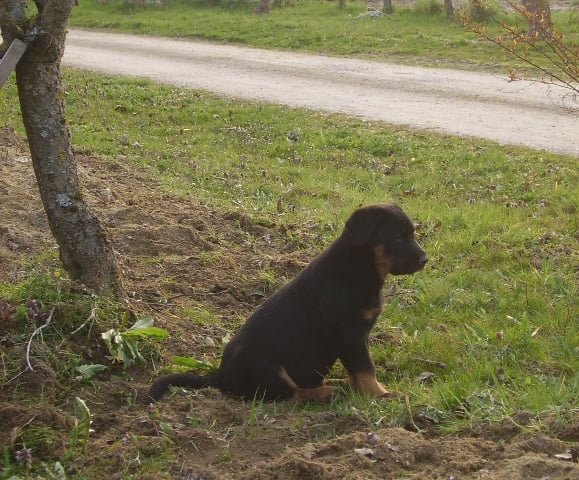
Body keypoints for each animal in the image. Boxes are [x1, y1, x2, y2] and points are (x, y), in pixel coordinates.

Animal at [147, 204, 428, 404]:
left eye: (411, 234)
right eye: (397, 237)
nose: (425, 260)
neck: (358, 268)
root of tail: (220, 377)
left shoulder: (355, 338)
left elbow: (359, 371)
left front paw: (373, 391)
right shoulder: (350, 334)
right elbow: (366, 369)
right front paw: (382, 395)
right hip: (264, 364)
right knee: (288, 394)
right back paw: (325, 392)